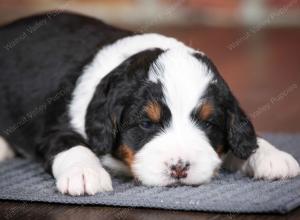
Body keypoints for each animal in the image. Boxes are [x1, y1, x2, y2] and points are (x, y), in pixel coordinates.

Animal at [0, 12, 298, 195]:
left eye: (208, 123)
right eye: (146, 123)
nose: (179, 167)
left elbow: (244, 139)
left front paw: (272, 156)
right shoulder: (54, 129)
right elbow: (71, 145)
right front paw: (85, 173)